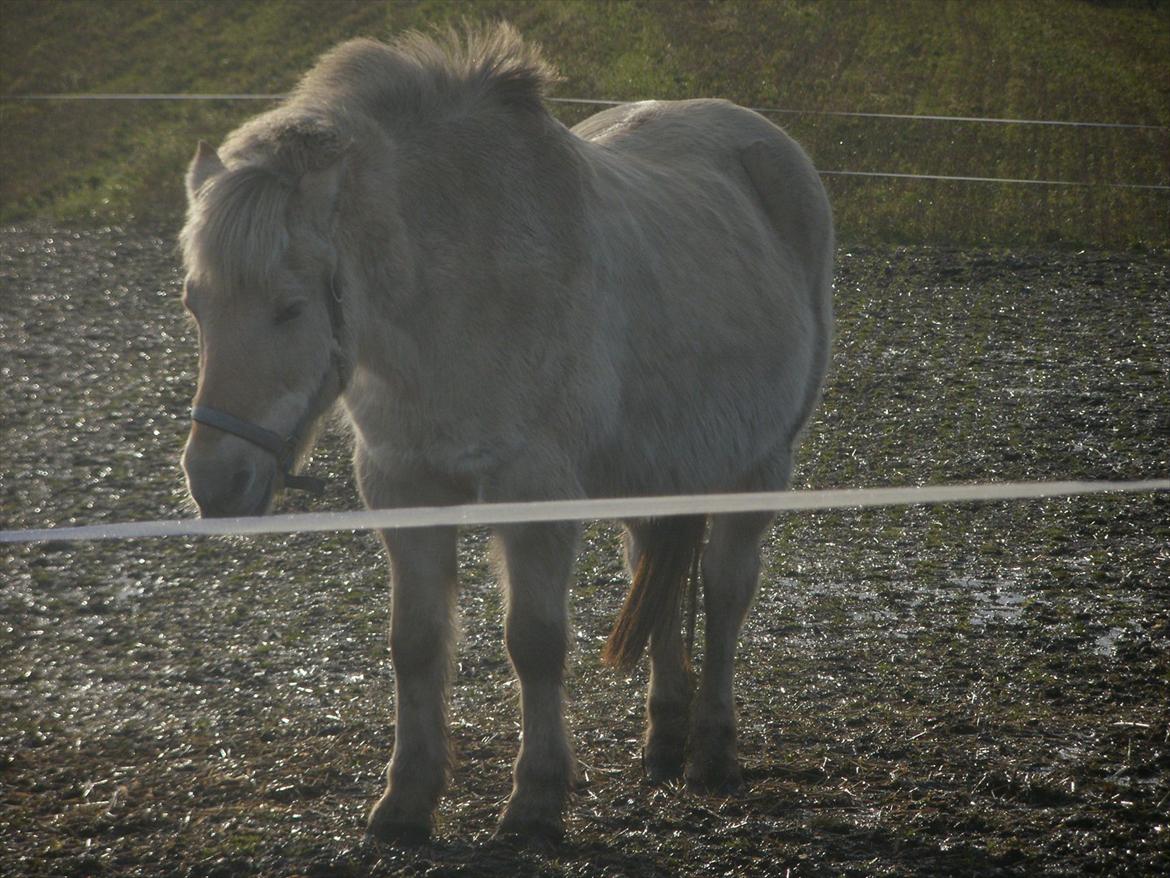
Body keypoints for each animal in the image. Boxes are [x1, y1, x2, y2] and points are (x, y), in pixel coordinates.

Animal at [180, 23, 833, 842]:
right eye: (195, 304)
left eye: (289, 308)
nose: (215, 480)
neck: (457, 283)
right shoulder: (403, 484)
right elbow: (416, 643)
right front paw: (406, 800)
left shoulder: (534, 491)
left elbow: (535, 641)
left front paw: (536, 799)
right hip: (653, 473)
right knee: (655, 576)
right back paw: (663, 742)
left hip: (760, 465)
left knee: (724, 592)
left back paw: (713, 753)